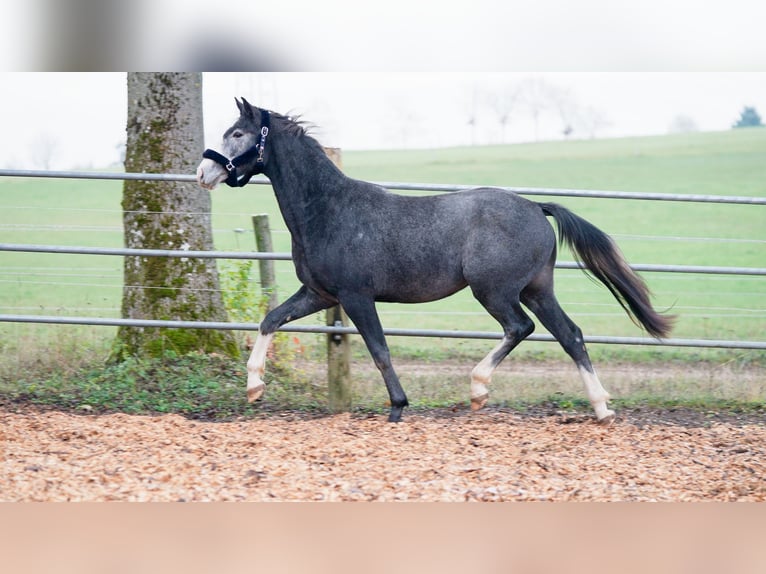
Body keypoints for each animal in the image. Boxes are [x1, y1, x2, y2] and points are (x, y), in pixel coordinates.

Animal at [196, 98, 672, 424]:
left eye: (237, 134)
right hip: (537, 289)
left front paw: (397, 408)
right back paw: (602, 409)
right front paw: (254, 387)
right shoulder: (319, 294)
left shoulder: (355, 296)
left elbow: (380, 350)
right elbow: (270, 320)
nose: (204, 173)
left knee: (521, 328)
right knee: (570, 335)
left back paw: (479, 389)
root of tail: (537, 208)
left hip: (495, 291)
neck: (327, 209)